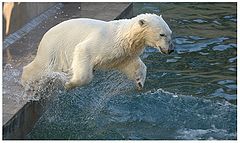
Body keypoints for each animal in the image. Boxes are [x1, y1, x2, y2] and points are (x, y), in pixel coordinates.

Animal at [21, 13, 172, 89]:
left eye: (170, 33)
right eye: (162, 34)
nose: (171, 49)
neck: (123, 35)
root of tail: (45, 35)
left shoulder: (123, 53)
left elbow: (134, 64)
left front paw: (140, 82)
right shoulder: (104, 41)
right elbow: (83, 50)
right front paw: (69, 84)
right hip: (54, 48)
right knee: (41, 66)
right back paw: (26, 82)